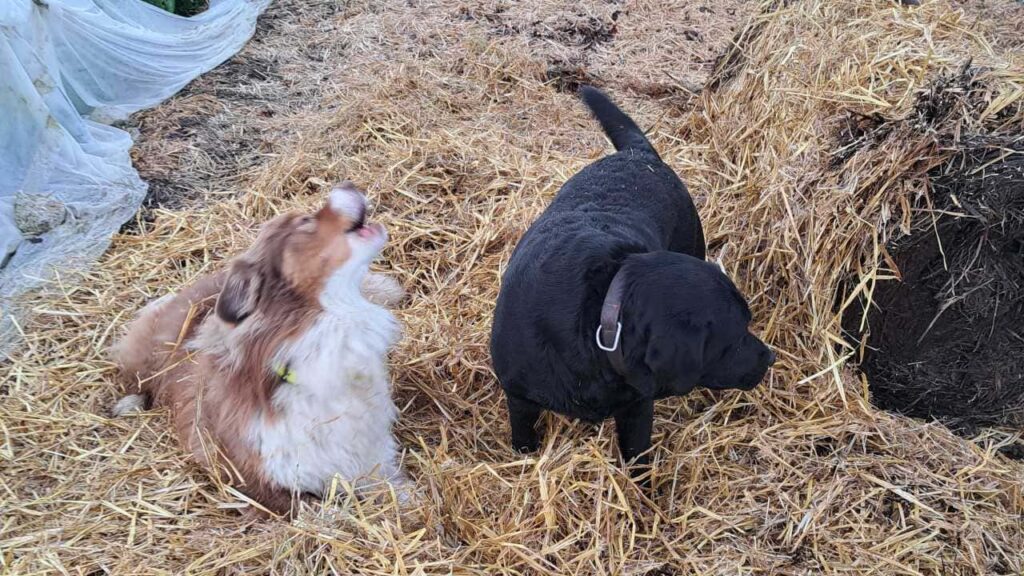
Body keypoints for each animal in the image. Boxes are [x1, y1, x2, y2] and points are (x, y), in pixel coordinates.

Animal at [111, 181, 407, 512]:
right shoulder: (264, 485)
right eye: (305, 221)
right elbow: (322, 513)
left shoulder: (372, 458)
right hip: (146, 351)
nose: (348, 184)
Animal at [491, 84, 770, 471]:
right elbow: (523, 437)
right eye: (736, 335)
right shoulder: (518, 398)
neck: (601, 313)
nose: (769, 358)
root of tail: (639, 154)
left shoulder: (637, 405)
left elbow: (637, 455)